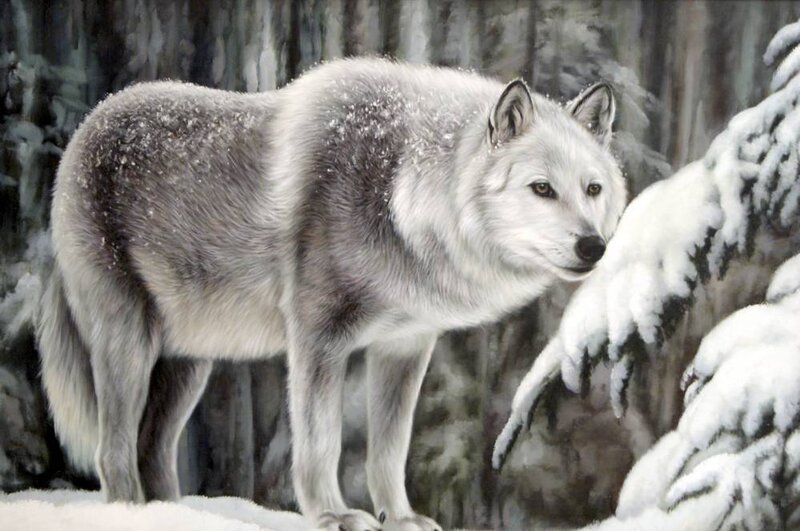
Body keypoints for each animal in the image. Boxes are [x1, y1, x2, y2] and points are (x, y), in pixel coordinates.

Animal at [36, 57, 625, 530]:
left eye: (593, 189)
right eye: (542, 189)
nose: (594, 247)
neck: (399, 195)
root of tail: (91, 121)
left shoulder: (405, 349)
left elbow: (389, 451)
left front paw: (401, 518)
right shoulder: (319, 341)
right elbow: (321, 443)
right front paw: (333, 516)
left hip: (189, 367)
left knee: (151, 449)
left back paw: (170, 516)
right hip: (128, 345)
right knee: (112, 451)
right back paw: (128, 514)